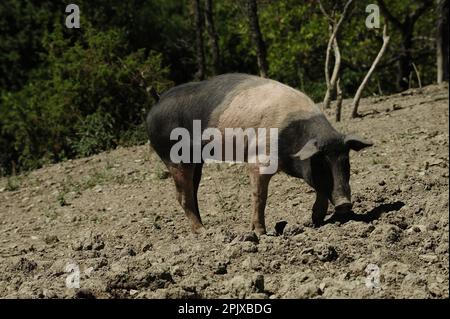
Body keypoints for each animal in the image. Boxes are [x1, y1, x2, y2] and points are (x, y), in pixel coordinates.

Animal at [146, 74, 370, 235]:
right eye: (322, 163)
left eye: (346, 162)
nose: (345, 204)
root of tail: (157, 100)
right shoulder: (259, 160)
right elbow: (260, 196)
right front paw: (261, 233)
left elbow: (319, 189)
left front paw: (316, 221)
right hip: (174, 155)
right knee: (182, 195)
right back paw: (204, 232)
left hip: (196, 160)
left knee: (192, 191)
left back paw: (205, 228)